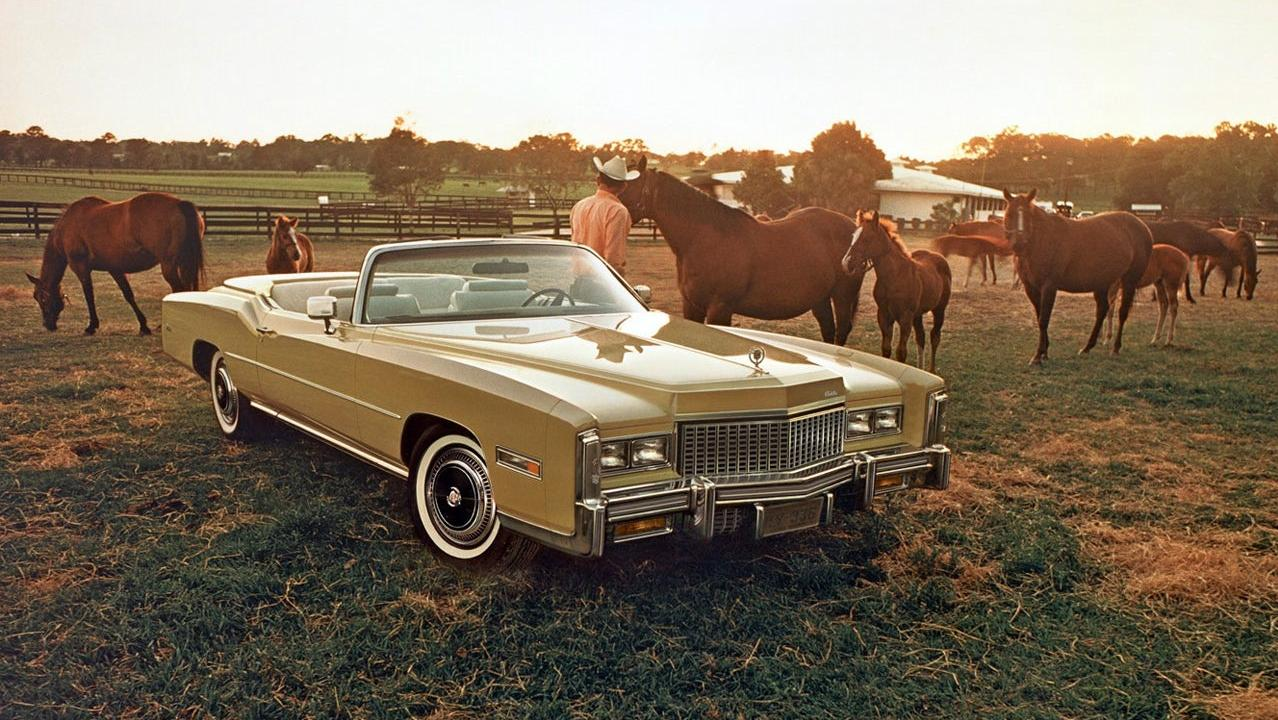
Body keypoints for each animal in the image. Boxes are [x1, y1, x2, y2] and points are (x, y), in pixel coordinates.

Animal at [24, 193, 205, 337]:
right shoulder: (115, 269)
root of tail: (179, 203)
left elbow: (89, 295)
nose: (48, 325)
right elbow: (128, 295)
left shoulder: (80, 267)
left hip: (169, 266)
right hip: (184, 263)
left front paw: (91, 326)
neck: (66, 227)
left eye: (40, 297)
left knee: (179, 290)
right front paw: (143, 326)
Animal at [613, 155, 863, 345]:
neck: (703, 239)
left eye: (625, 185)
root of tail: (853, 227)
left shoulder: (720, 308)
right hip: (820, 298)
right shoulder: (691, 306)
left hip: (842, 295)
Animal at [838, 211, 950, 370]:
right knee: (921, 337)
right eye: (853, 236)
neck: (894, 276)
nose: (846, 263)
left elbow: (901, 353)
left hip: (939, 309)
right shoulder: (884, 315)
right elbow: (886, 349)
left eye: (867, 238)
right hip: (917, 314)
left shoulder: (905, 317)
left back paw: (931, 370)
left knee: (935, 337)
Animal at [1001, 190, 1155, 365]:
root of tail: (1143, 227)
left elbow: (1044, 319)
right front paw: (1044, 351)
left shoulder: (1049, 287)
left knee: (1122, 312)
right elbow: (1040, 316)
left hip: (1129, 281)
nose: (1018, 245)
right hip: (1102, 283)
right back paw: (1087, 347)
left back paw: (1115, 348)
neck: (1042, 241)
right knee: (1102, 310)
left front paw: (1038, 356)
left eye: (1028, 216)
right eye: (1009, 214)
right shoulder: (1031, 288)